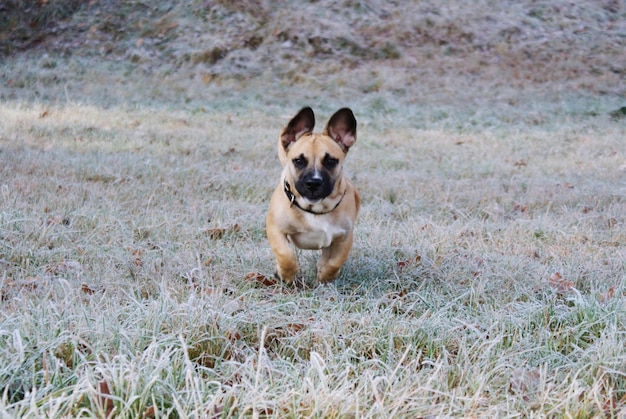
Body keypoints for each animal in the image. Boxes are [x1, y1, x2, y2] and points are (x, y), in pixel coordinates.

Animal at [266, 107, 358, 286]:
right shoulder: (275, 229)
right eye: (298, 161)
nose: (313, 183)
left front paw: (324, 278)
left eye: (330, 161)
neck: (315, 208)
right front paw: (287, 275)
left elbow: (334, 263)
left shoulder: (344, 238)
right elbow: (285, 254)